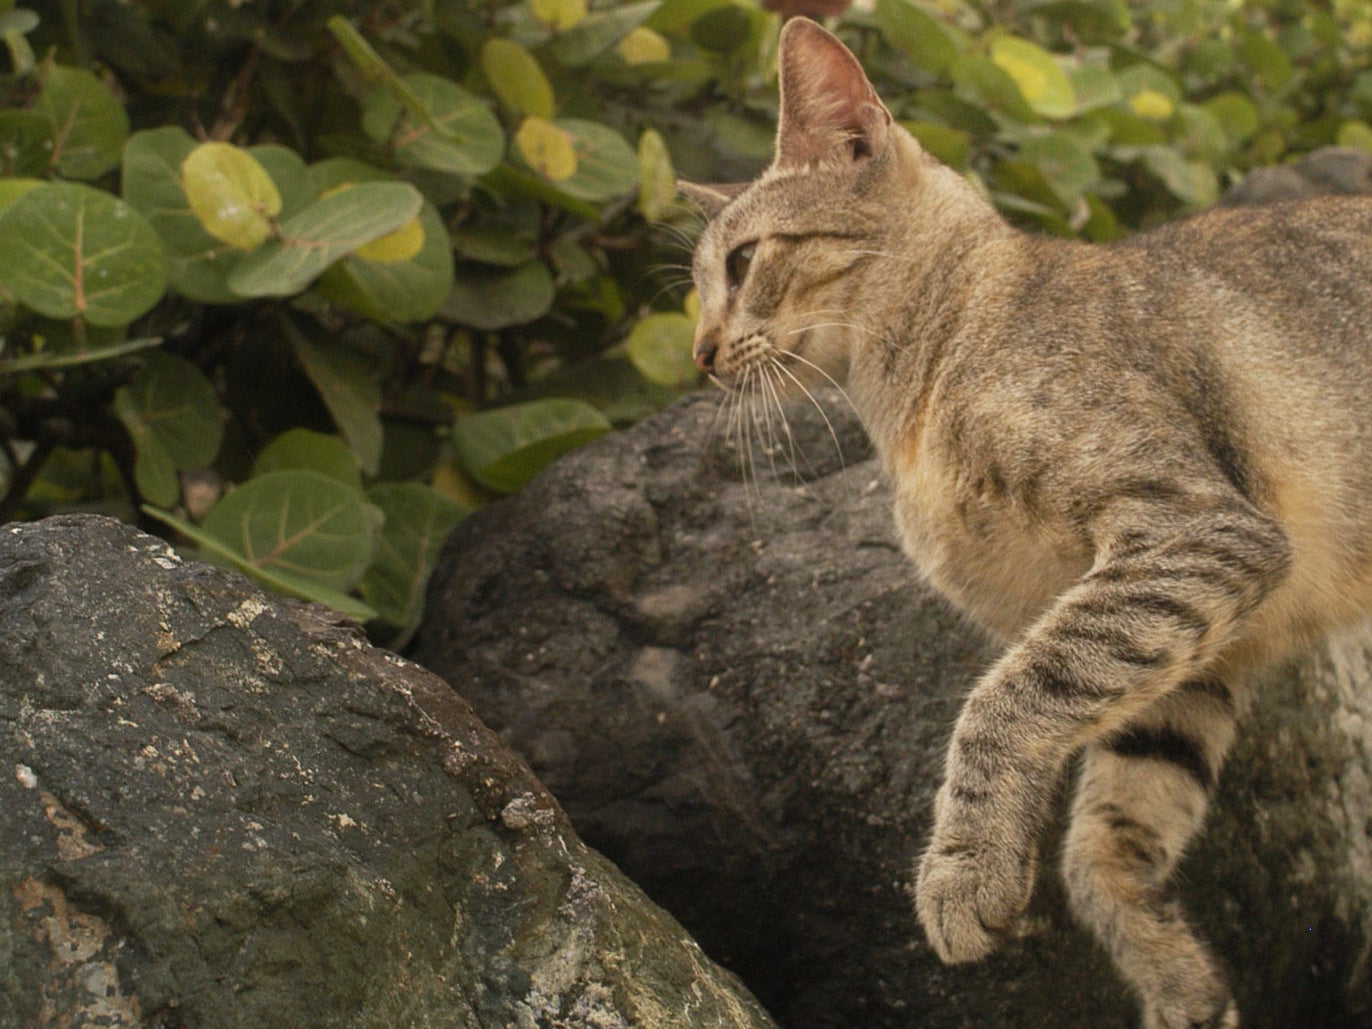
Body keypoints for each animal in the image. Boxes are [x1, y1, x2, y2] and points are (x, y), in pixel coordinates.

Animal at [686, 16, 1372, 1029]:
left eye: (741, 263)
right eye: (694, 285)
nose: (697, 354)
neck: (913, 399)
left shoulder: (1190, 532)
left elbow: (1006, 701)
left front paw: (962, 871)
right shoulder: (1192, 659)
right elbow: (1107, 842)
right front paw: (1180, 985)